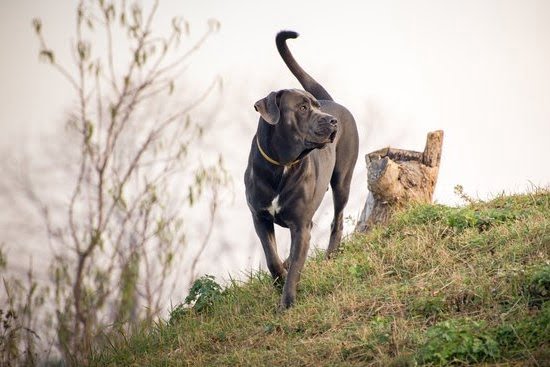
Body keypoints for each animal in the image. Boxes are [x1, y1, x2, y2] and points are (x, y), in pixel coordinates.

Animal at [247, 30, 362, 310]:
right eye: (301, 108)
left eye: (315, 107)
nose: (331, 121)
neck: (282, 165)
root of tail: (333, 102)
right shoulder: (259, 217)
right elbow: (271, 257)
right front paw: (279, 277)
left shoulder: (300, 225)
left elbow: (296, 266)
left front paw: (287, 303)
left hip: (342, 180)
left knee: (337, 220)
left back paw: (332, 253)